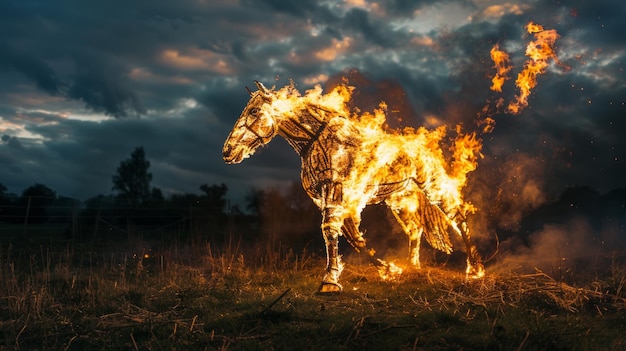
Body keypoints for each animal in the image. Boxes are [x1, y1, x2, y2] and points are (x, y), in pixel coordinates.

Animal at [222, 81, 486, 292]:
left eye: (254, 110)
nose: (228, 151)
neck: (316, 140)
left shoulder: (335, 190)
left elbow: (331, 231)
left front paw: (330, 282)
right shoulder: (334, 199)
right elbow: (354, 239)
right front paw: (389, 270)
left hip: (434, 187)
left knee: (458, 218)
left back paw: (475, 268)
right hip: (401, 200)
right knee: (415, 229)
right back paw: (413, 266)